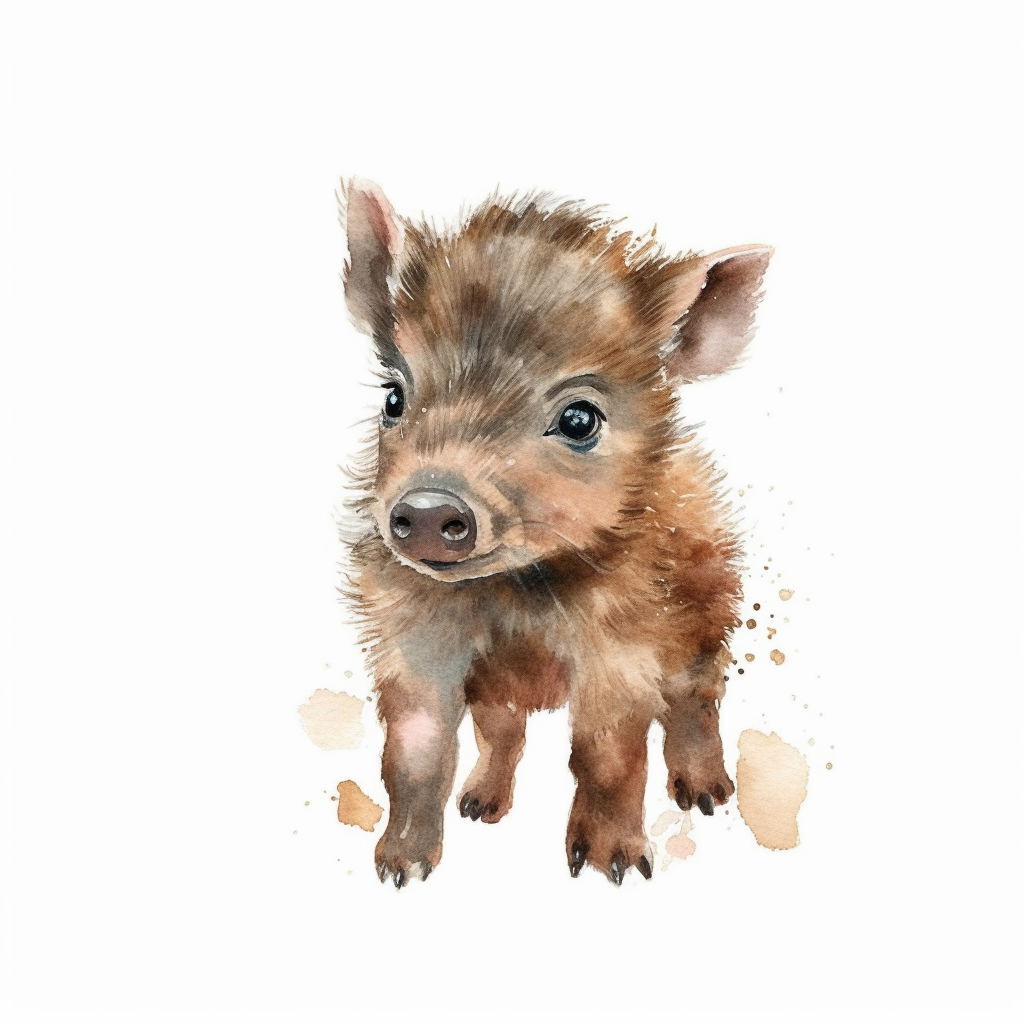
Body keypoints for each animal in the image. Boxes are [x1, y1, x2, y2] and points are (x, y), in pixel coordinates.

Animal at [339, 178, 772, 887]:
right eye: (393, 397)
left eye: (579, 419)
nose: (429, 506)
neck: (515, 594)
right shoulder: (413, 643)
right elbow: (414, 751)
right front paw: (400, 869)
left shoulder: (624, 650)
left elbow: (609, 755)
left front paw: (610, 867)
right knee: (502, 732)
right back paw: (480, 806)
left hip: (708, 617)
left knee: (696, 700)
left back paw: (707, 796)